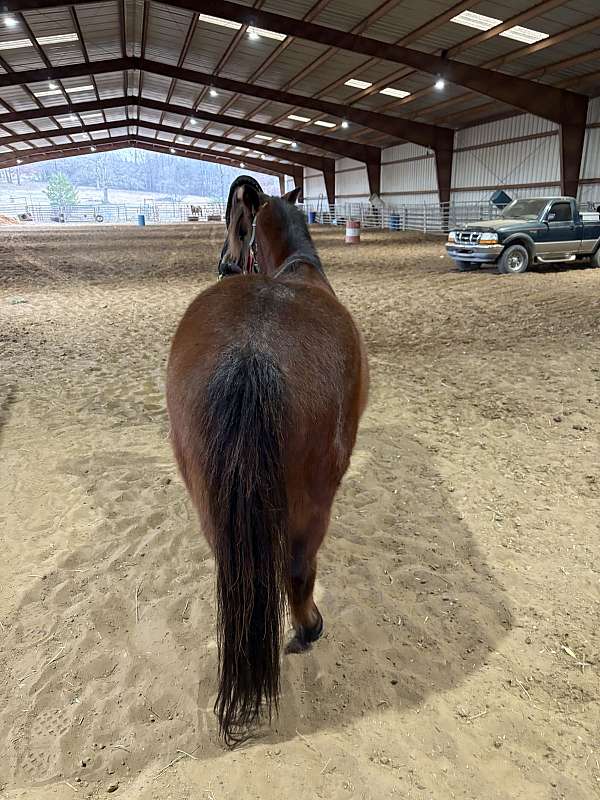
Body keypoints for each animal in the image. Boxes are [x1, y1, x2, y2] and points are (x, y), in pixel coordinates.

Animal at [166, 181, 369, 745]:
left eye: (238, 229)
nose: (223, 265)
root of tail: (252, 355)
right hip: (315, 501)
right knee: (299, 569)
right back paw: (307, 627)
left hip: (210, 501)